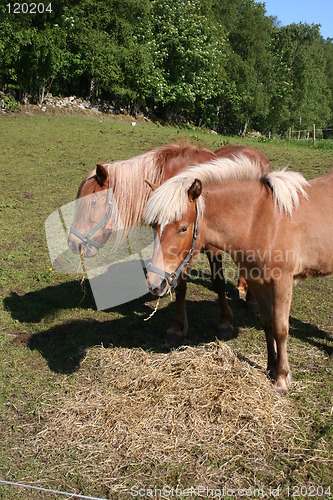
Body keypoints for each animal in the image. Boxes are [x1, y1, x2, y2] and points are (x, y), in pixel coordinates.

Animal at [67, 143, 270, 342]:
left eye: (92, 203)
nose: (73, 242)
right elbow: (180, 286)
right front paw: (177, 327)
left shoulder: (212, 249)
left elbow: (218, 282)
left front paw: (225, 323)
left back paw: (251, 301)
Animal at [145, 154, 332, 392]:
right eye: (154, 226)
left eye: (183, 228)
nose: (155, 282)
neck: (260, 221)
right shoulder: (256, 281)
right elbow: (267, 323)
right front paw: (270, 369)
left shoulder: (282, 282)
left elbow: (281, 329)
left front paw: (281, 378)